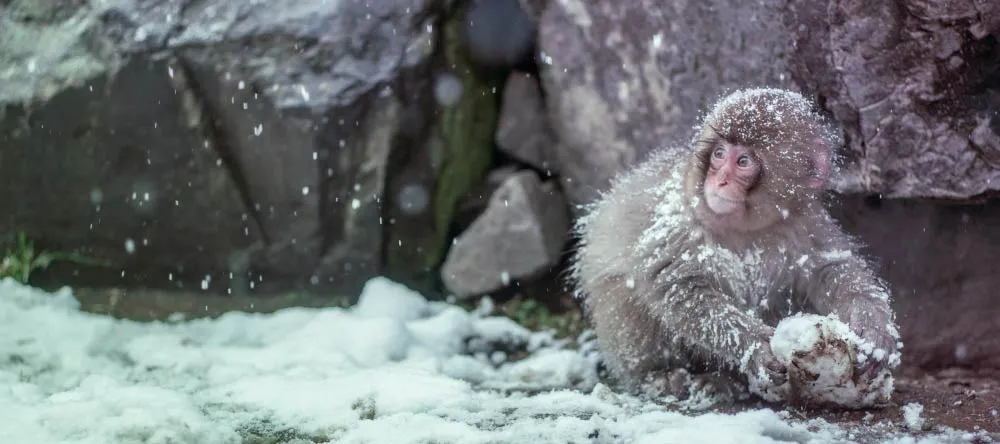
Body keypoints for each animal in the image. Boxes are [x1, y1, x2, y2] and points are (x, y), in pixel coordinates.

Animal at [570, 88, 901, 403]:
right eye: (719, 154)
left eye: (743, 162)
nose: (720, 181)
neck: (745, 230)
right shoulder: (679, 224)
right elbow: (679, 287)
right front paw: (754, 346)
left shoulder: (806, 223)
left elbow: (833, 269)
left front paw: (874, 328)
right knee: (623, 293)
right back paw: (660, 376)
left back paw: (727, 382)